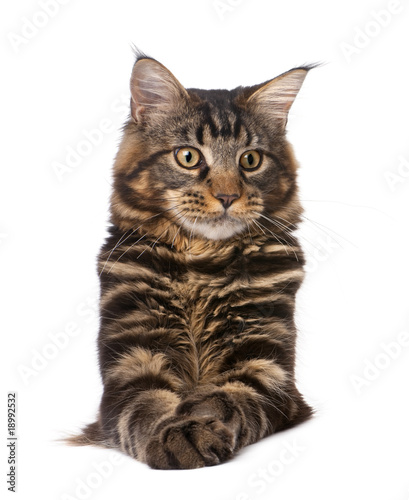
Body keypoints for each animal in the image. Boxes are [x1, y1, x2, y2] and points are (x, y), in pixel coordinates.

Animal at [68, 53, 314, 468]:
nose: (228, 196)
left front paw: (198, 423)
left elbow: (229, 397)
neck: (203, 263)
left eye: (250, 160)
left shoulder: (266, 364)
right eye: (188, 157)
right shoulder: (134, 358)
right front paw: (176, 438)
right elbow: (145, 407)